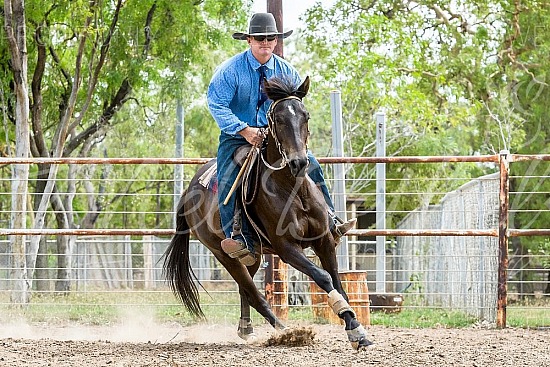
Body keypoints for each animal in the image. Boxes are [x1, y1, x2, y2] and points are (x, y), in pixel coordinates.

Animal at [162, 75, 374, 350]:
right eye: (279, 119)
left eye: (305, 116)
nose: (299, 162)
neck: (293, 188)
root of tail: (187, 192)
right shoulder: (286, 247)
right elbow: (323, 277)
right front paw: (351, 324)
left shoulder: (324, 241)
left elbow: (338, 282)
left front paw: (356, 328)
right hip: (223, 253)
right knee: (253, 293)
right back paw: (286, 331)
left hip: (252, 255)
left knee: (245, 288)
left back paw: (247, 328)